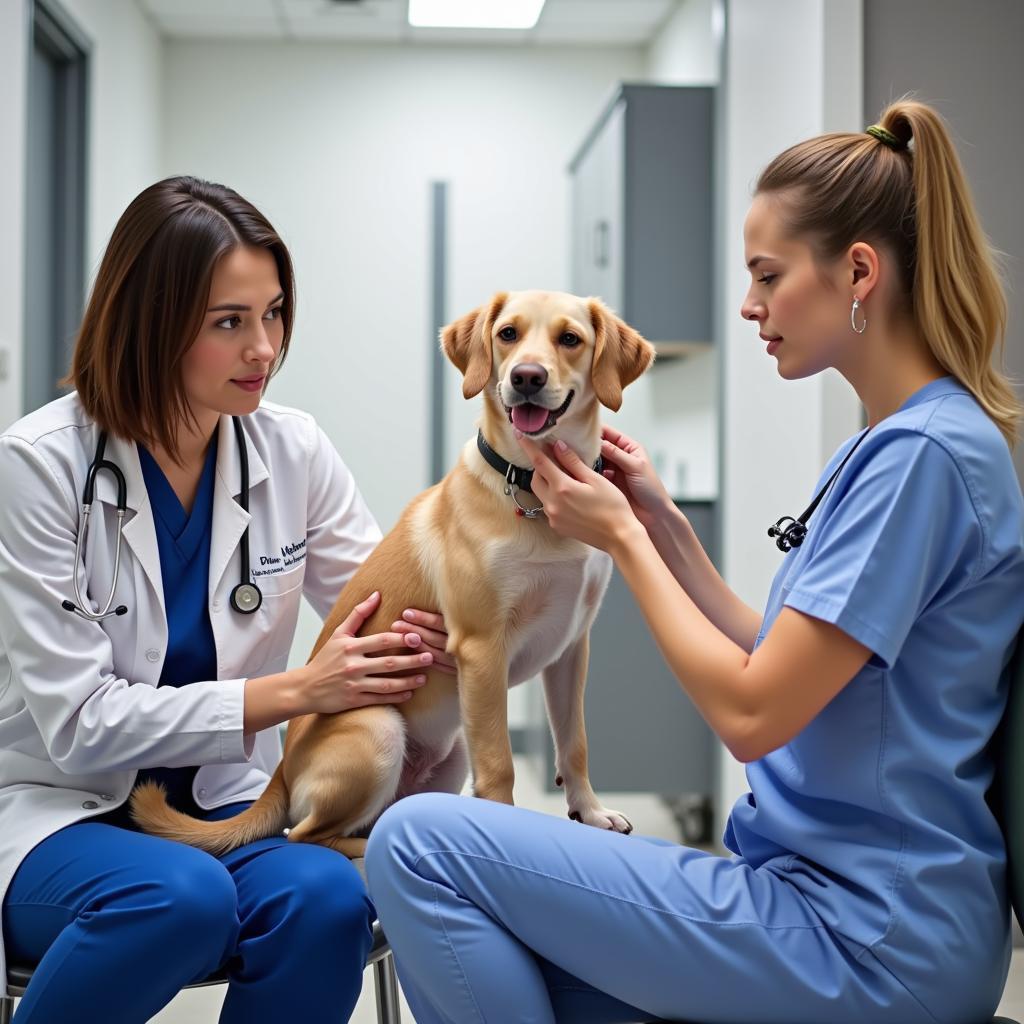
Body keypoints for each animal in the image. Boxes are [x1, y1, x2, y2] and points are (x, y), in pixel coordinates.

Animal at [130, 292, 655, 860]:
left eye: (570, 339)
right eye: (508, 334)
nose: (527, 377)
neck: (534, 490)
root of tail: (281, 775)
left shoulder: (571, 648)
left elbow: (574, 744)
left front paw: (591, 813)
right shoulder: (482, 650)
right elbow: (500, 768)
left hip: (451, 753)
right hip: (378, 729)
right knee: (308, 835)